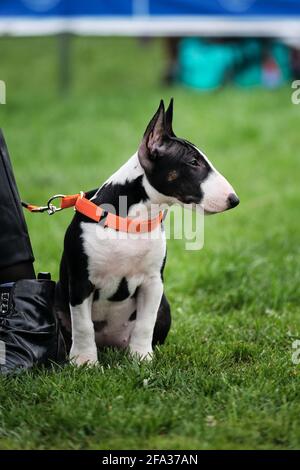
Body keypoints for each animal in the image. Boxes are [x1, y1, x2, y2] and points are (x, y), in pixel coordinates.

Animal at [55, 99, 239, 366]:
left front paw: (141, 358)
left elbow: (145, 323)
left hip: (165, 306)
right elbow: (83, 324)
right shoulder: (80, 282)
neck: (133, 220)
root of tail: (109, 344)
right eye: (193, 162)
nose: (234, 200)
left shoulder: (153, 282)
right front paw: (84, 362)